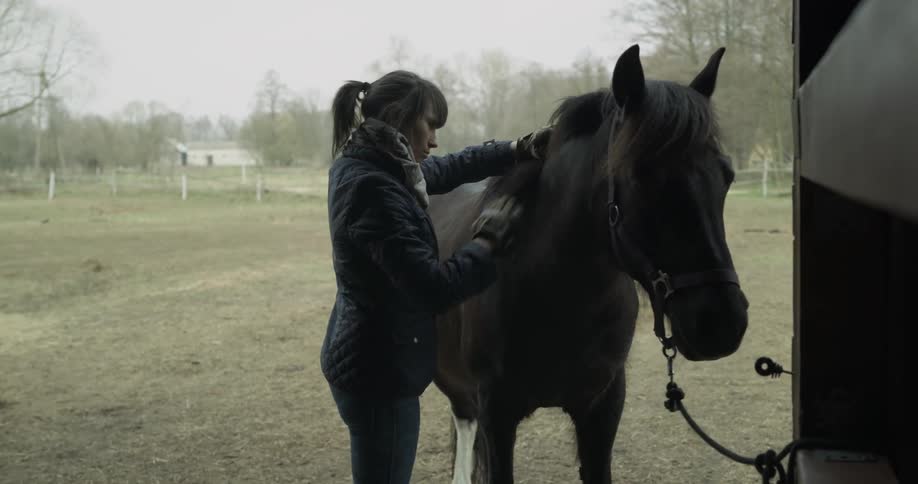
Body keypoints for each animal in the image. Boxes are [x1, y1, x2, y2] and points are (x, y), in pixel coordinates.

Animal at [426, 44, 749, 484]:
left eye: (727, 175)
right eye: (640, 175)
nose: (721, 324)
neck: (560, 294)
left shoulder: (602, 409)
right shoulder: (497, 413)